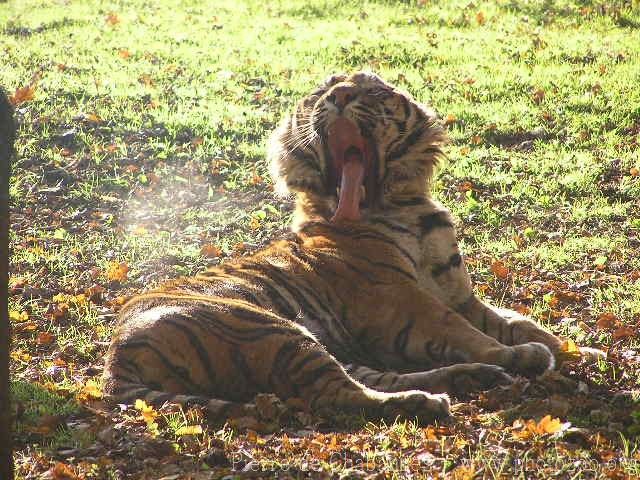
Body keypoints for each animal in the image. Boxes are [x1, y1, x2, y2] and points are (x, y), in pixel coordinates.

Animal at [102, 72, 600, 424]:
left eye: (371, 90)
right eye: (322, 92)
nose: (340, 95)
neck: (406, 205)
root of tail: (115, 358)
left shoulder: (459, 295)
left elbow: (518, 322)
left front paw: (578, 350)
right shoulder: (400, 299)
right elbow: (464, 331)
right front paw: (519, 354)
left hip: (319, 341)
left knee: (371, 379)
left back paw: (468, 379)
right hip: (267, 329)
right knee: (335, 394)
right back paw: (434, 400)